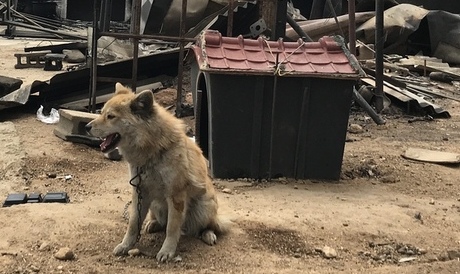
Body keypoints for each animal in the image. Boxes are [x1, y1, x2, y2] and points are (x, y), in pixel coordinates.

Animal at [85, 83, 229, 262]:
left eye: (110, 116)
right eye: (102, 112)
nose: (87, 127)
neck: (152, 150)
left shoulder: (176, 195)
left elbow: (172, 228)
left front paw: (167, 251)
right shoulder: (140, 192)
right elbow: (133, 224)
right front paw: (126, 245)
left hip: (203, 207)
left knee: (209, 226)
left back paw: (208, 234)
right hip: (155, 203)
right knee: (161, 221)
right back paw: (153, 224)